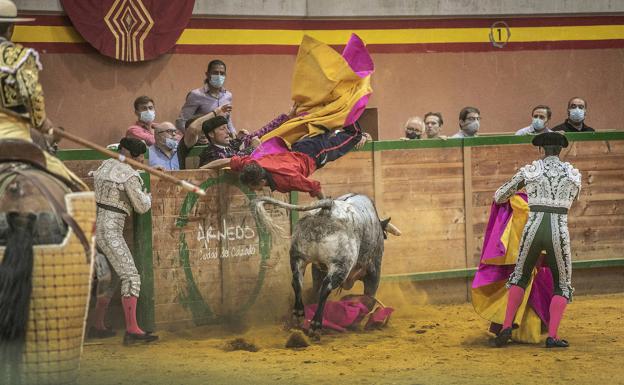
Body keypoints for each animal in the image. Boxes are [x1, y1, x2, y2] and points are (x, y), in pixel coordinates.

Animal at [250, 192, 400, 336]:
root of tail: (328, 208)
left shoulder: (317, 268)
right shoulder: (373, 273)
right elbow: (369, 299)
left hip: (298, 257)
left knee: (298, 282)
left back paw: (299, 314)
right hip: (341, 265)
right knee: (325, 287)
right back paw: (315, 325)